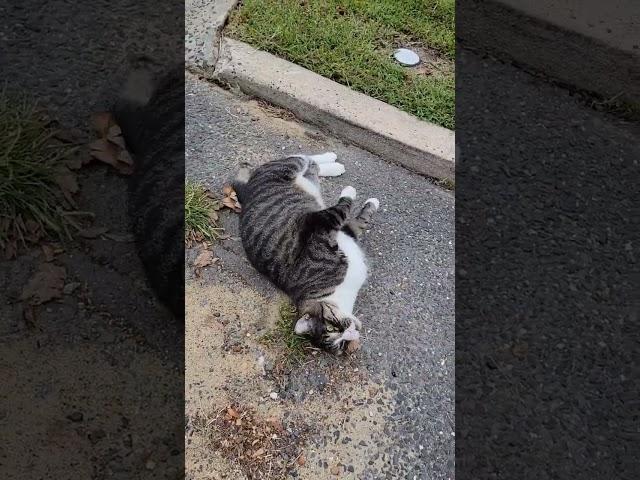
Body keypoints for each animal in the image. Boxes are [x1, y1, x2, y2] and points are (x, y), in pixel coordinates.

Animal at [232, 154, 378, 352]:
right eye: (339, 342)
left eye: (332, 326)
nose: (350, 333)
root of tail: (248, 189)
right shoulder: (331, 226)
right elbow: (355, 217)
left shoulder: (324, 223)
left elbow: (352, 212)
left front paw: (361, 196)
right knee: (311, 165)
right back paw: (334, 165)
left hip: (289, 166)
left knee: (304, 156)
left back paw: (332, 160)